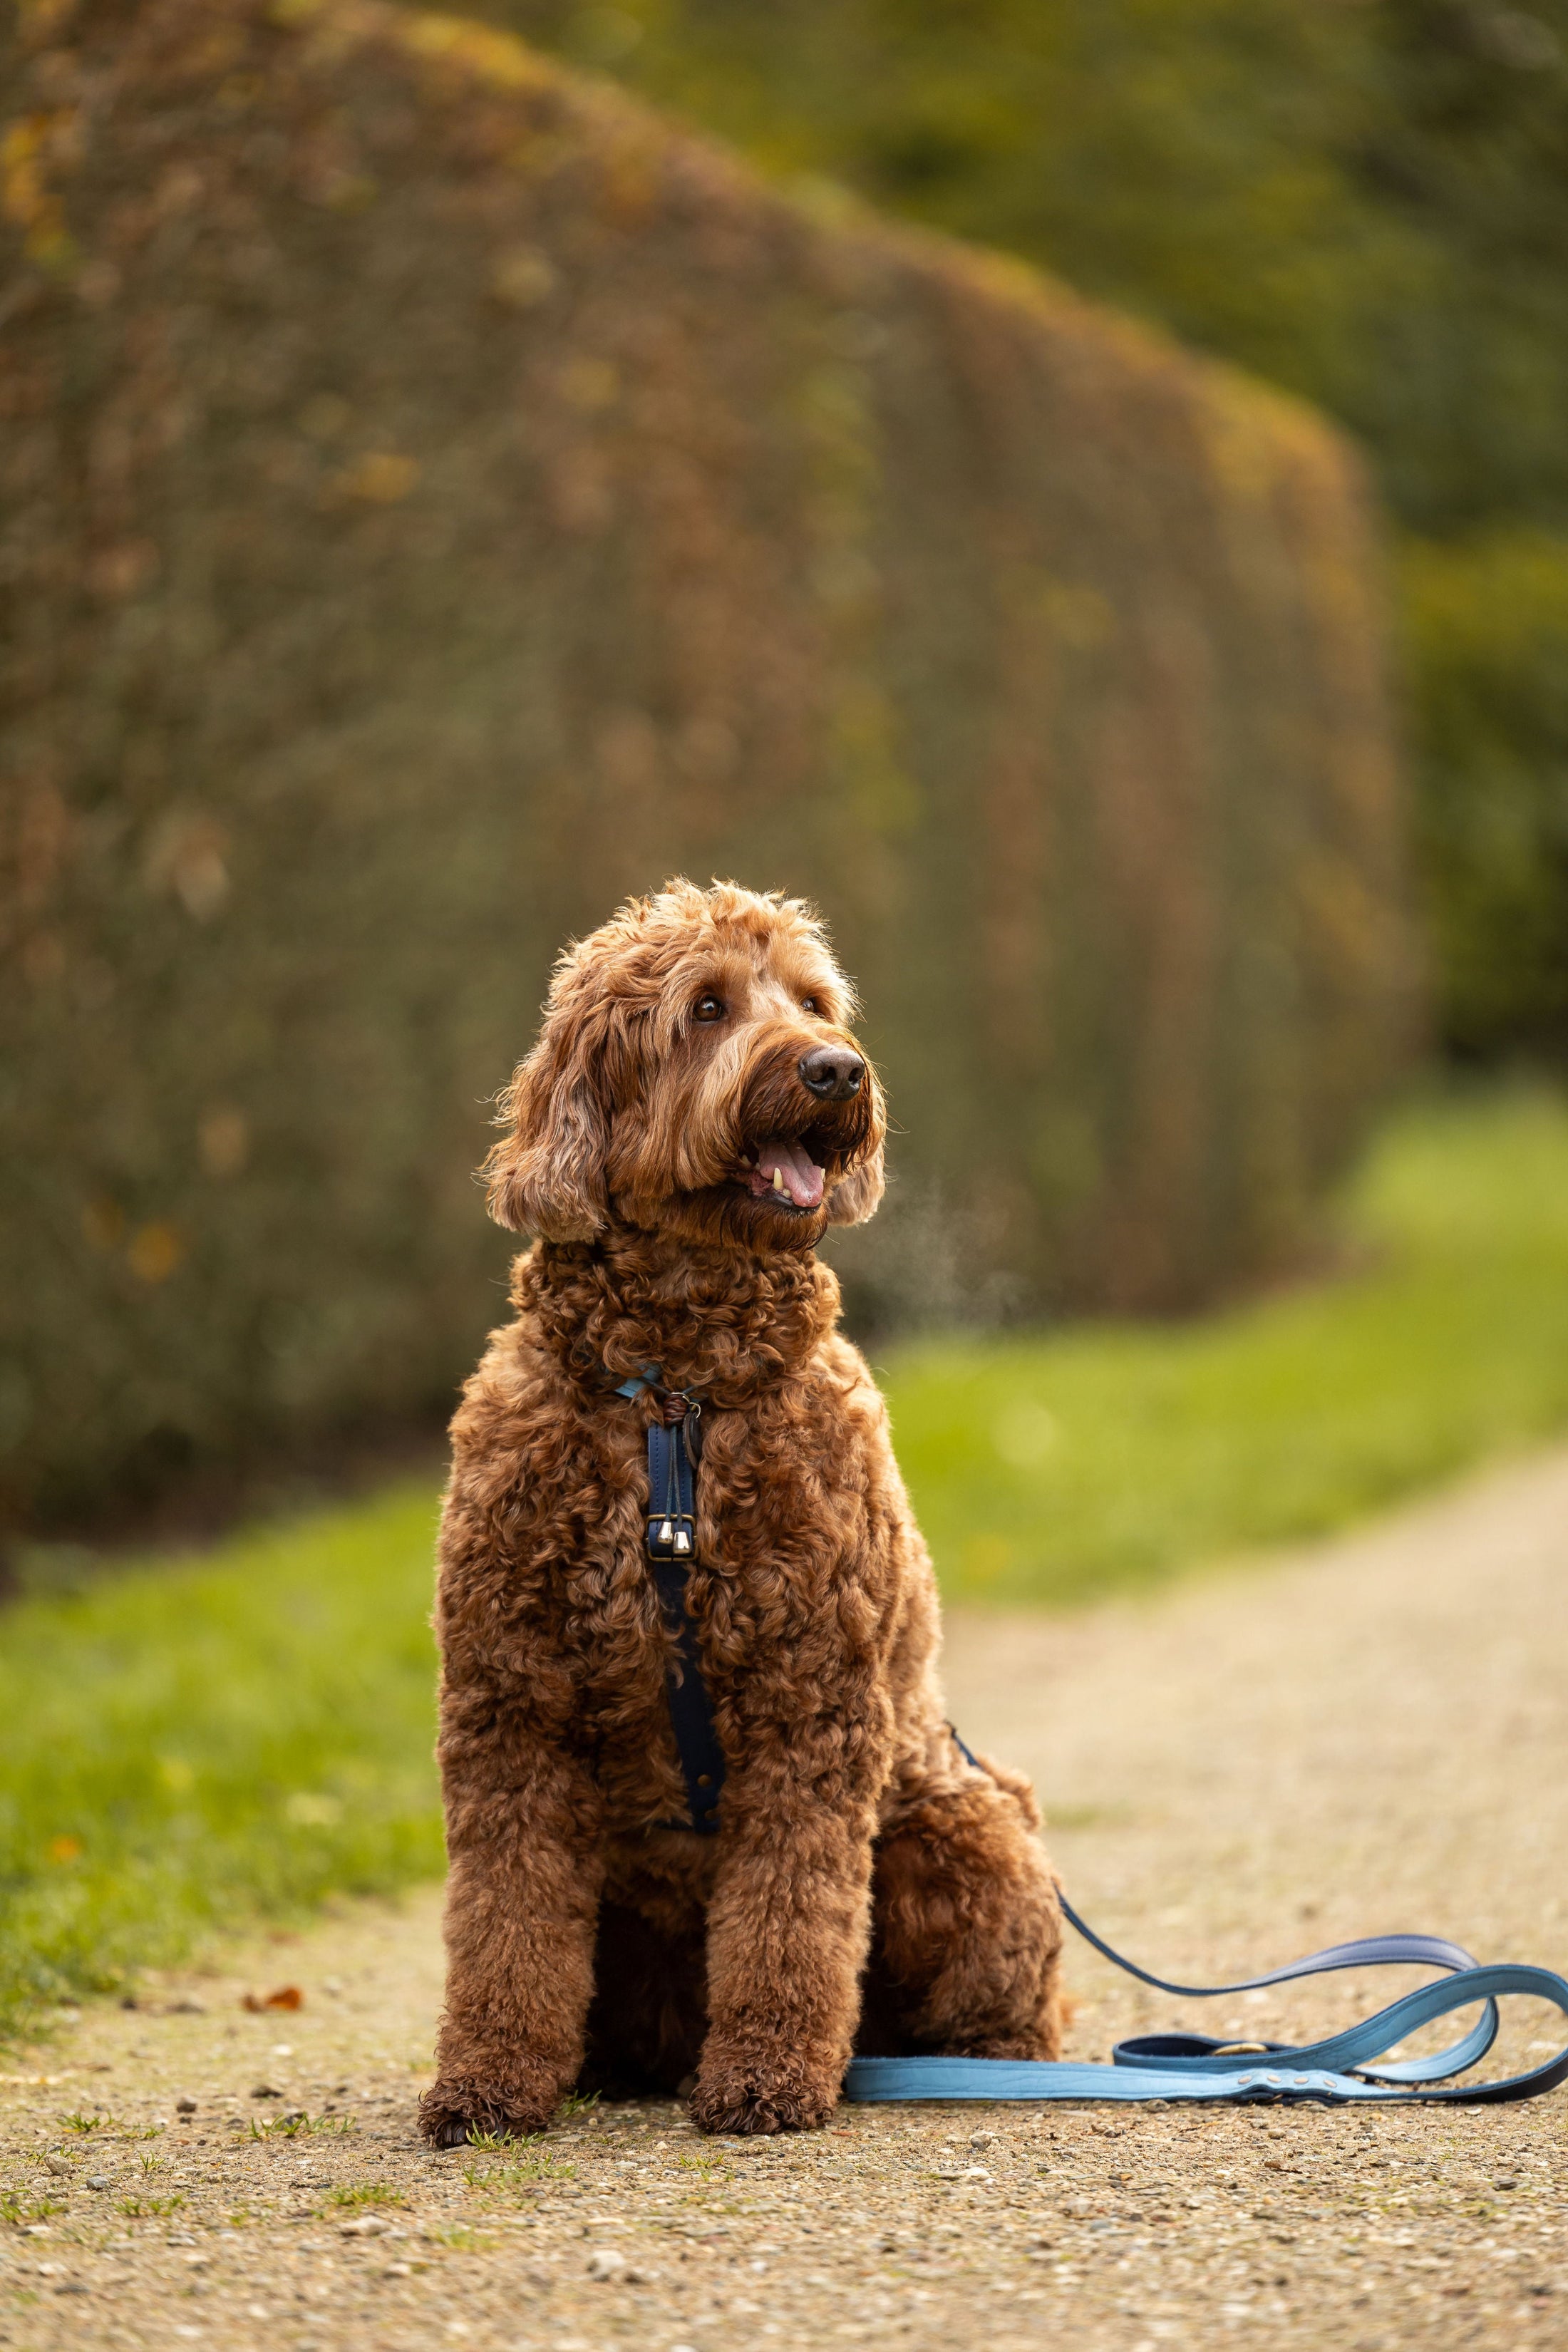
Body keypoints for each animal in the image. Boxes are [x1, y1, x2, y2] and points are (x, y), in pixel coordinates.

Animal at [421, 884, 1067, 2154]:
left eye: (813, 1001)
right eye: (707, 1008)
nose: (834, 1070)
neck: (676, 1392)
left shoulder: (807, 1707)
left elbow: (792, 1915)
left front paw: (768, 2075)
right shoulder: (512, 1708)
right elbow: (505, 1925)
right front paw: (490, 2081)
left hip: (961, 1829)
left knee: (1011, 1995)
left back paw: (976, 2061)